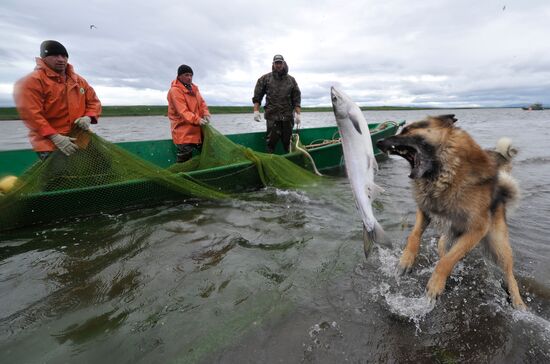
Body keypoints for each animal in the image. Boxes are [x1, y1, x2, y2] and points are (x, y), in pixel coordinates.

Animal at [378, 115, 528, 308]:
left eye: (406, 130)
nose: (378, 142)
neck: (447, 170)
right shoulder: (425, 211)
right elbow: (414, 236)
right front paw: (406, 260)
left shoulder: (477, 229)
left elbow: (447, 261)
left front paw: (435, 284)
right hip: (445, 241)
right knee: (446, 252)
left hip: (499, 246)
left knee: (509, 274)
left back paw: (518, 302)